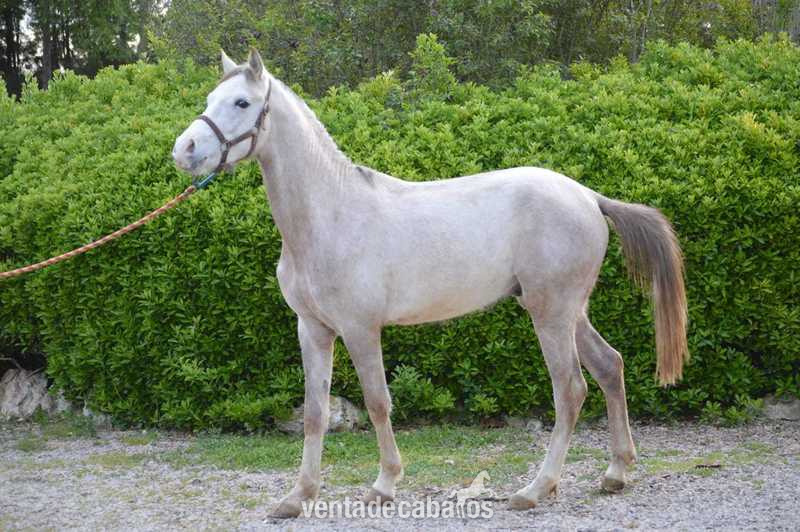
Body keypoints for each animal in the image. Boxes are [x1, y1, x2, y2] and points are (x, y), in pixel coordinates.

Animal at [172, 49, 688, 517]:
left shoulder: (360, 329)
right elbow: (315, 411)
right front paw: (299, 496)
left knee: (571, 390)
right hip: (567, 312)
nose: (185, 150)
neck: (329, 215)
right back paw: (616, 473)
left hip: (552, 314)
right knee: (609, 367)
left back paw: (536, 489)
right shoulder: (313, 329)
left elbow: (378, 402)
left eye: (241, 102)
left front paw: (383, 485)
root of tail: (588, 196)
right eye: (210, 98)